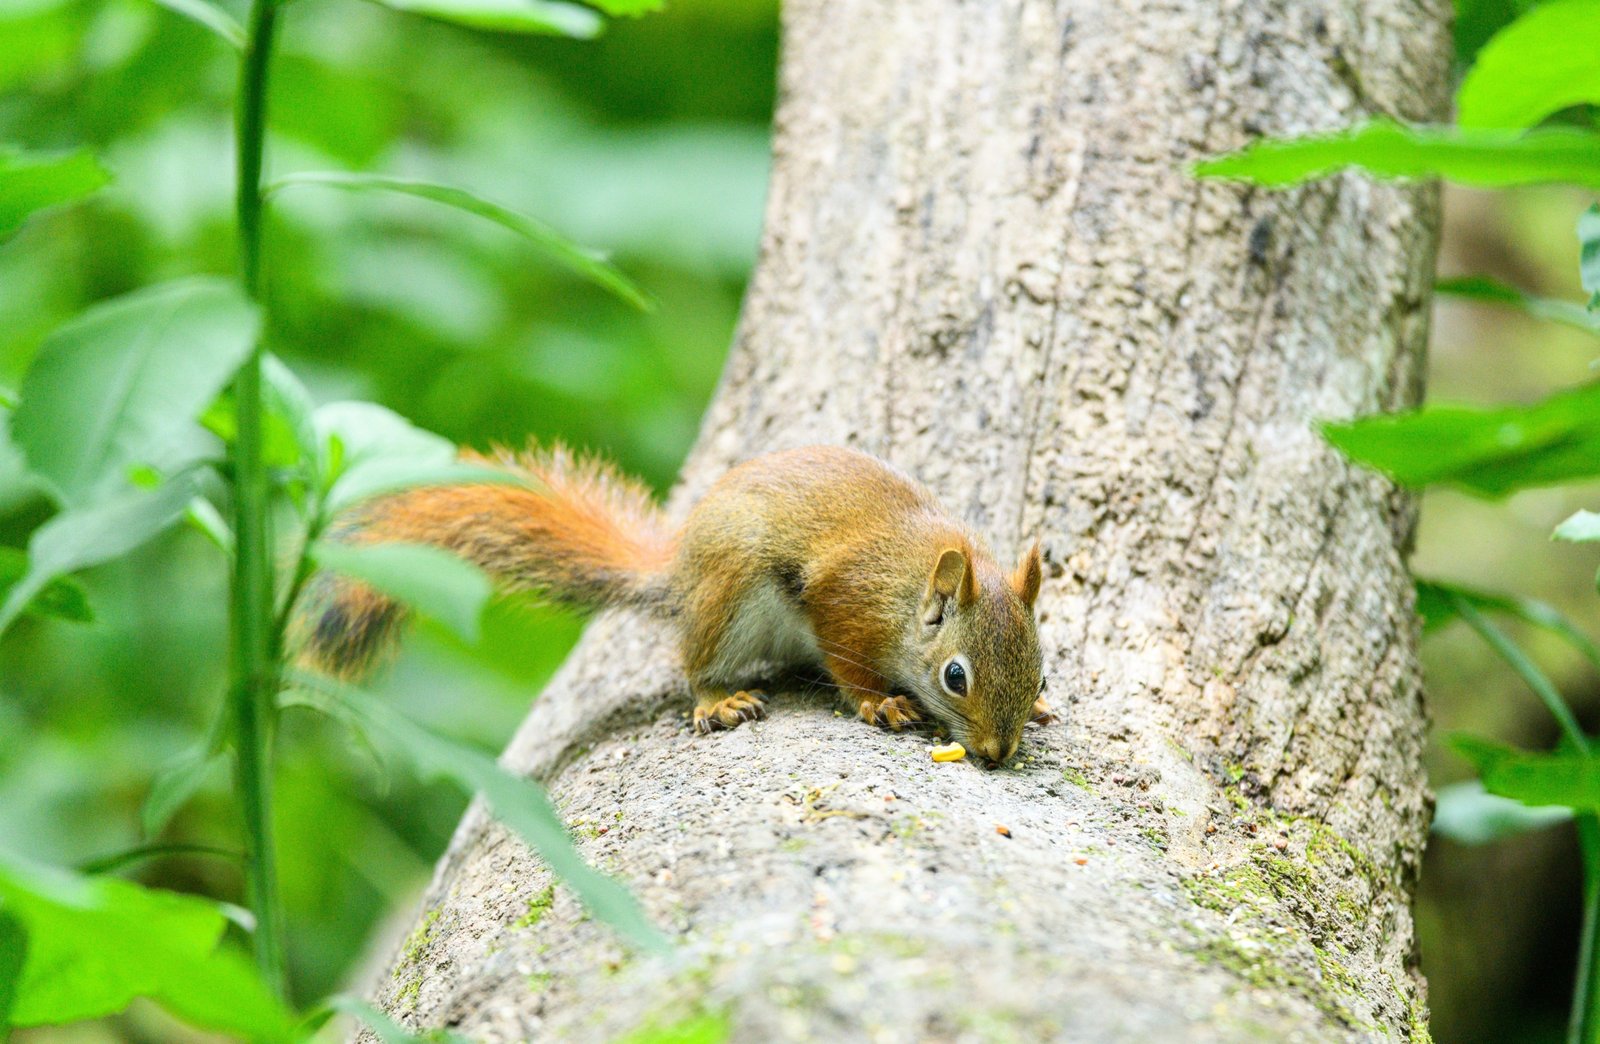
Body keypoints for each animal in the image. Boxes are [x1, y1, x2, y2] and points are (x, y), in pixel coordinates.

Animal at [298, 444, 1051, 763]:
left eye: (1042, 668)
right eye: (955, 677)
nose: (995, 753)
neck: (909, 589)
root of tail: (682, 573)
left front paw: (1040, 710)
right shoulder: (845, 602)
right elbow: (849, 666)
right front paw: (881, 703)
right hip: (733, 596)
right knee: (696, 662)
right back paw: (717, 700)